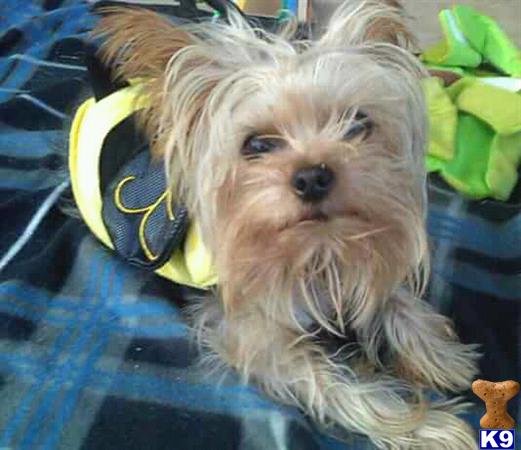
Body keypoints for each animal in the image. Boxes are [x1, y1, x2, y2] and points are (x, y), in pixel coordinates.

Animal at [94, 1, 480, 448]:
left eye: (357, 123)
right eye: (257, 144)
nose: (312, 176)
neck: (316, 247)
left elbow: (394, 296)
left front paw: (439, 354)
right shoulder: (252, 334)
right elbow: (334, 383)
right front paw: (428, 427)